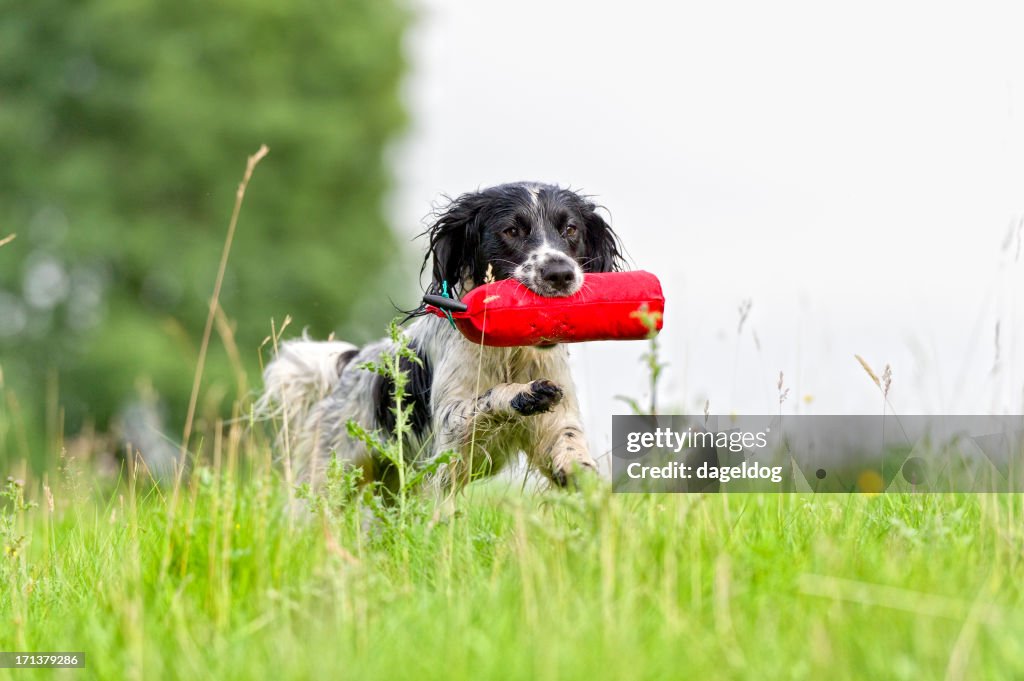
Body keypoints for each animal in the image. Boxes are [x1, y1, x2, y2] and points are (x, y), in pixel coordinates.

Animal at [256, 180, 622, 493]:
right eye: (511, 230)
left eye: (570, 229)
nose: (560, 273)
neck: (509, 352)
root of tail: (350, 362)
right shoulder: (450, 430)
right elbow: (489, 398)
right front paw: (522, 394)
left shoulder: (557, 422)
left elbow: (570, 446)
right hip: (330, 476)